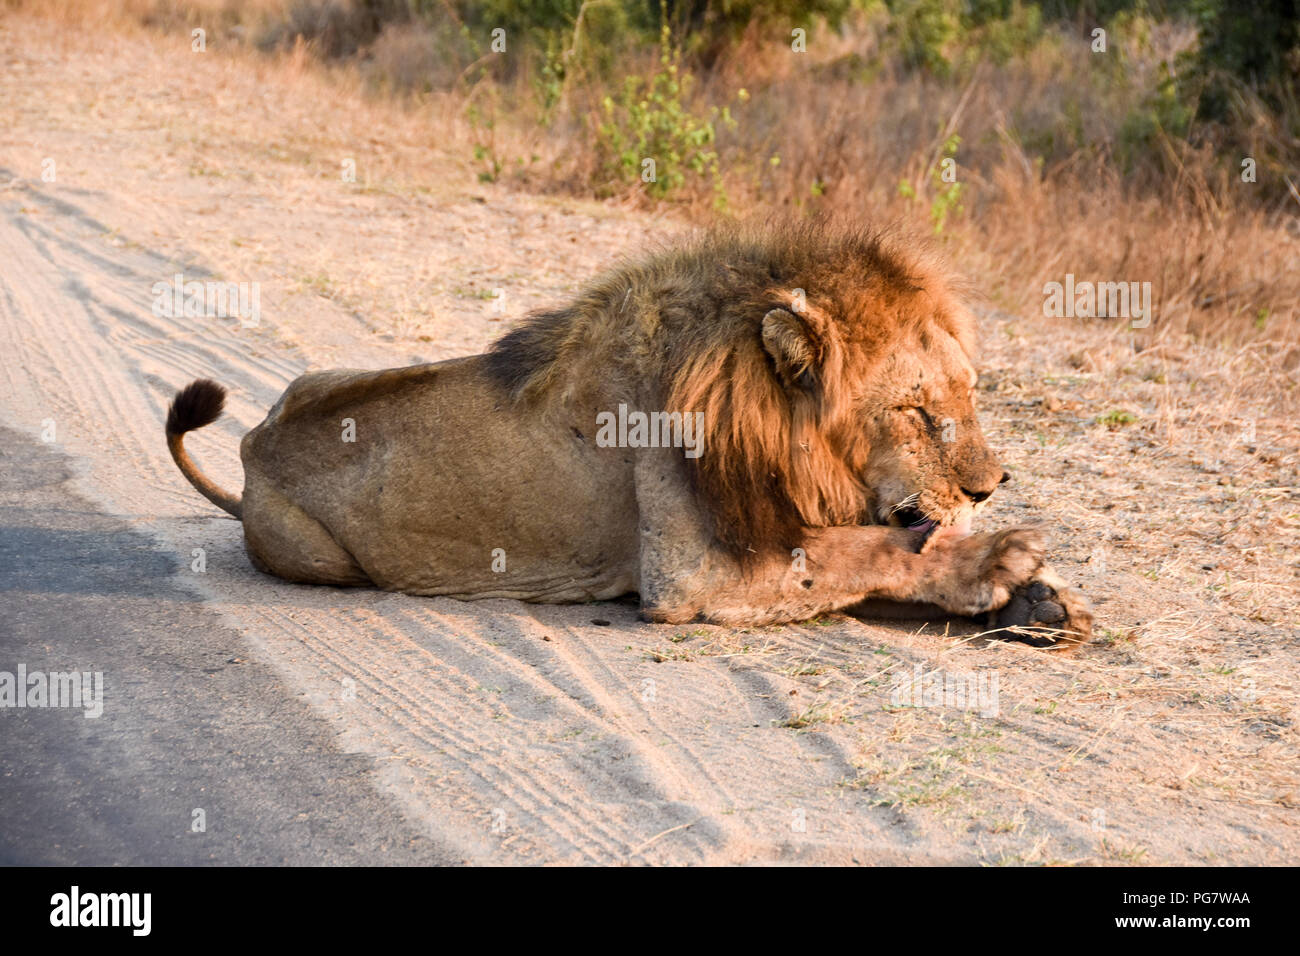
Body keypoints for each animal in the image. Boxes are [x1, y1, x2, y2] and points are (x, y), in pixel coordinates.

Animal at [167, 221, 1092, 647]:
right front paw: (999, 562)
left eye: (972, 395)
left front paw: (1040, 604)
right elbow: (859, 554)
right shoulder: (693, 575)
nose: (989, 488)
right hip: (317, 556)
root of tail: (250, 448)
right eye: (914, 411)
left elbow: (868, 563)